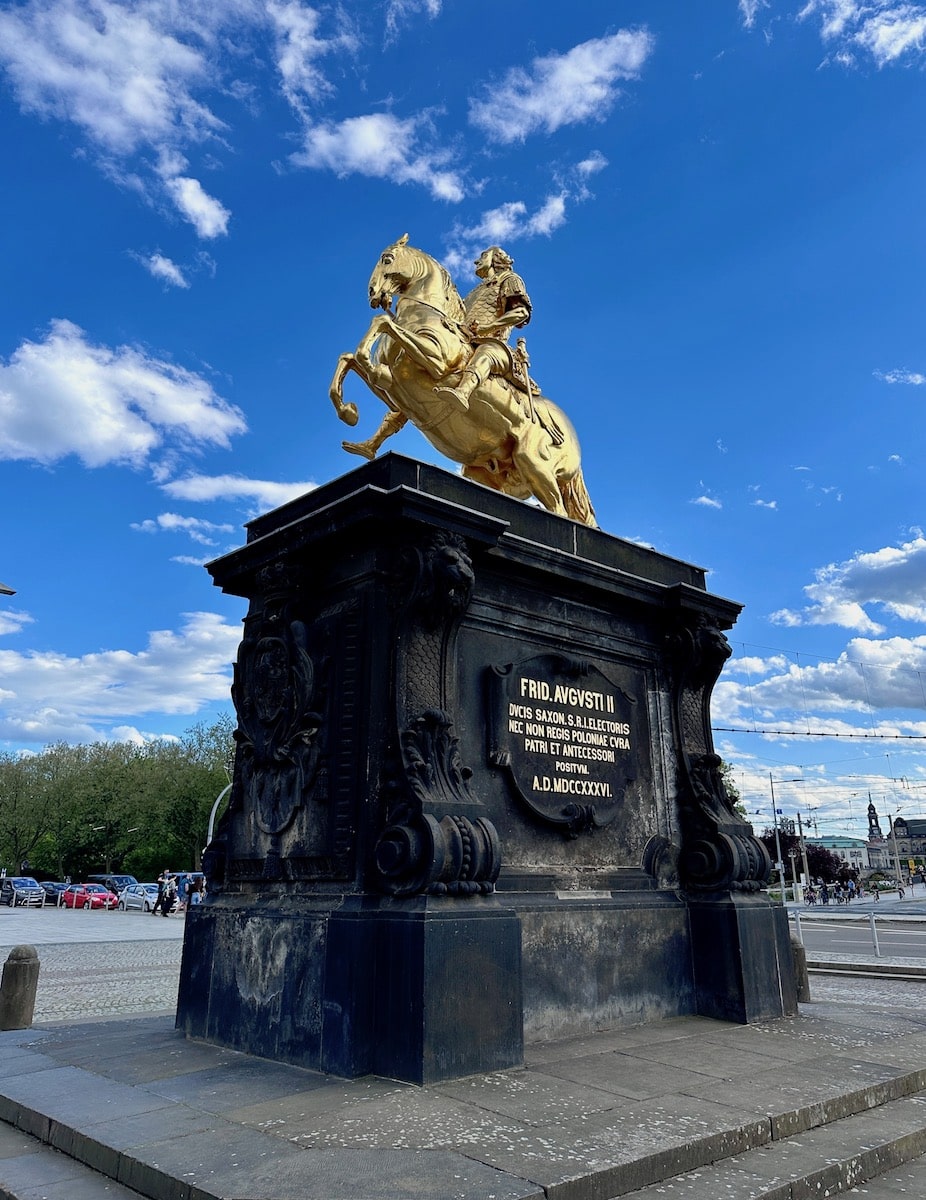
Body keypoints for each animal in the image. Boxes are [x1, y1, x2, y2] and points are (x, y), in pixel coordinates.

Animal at [328, 236, 597, 528]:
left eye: (387, 259)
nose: (373, 293)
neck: (426, 314)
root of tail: (573, 438)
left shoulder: (435, 360)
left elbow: (382, 322)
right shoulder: (393, 382)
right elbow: (349, 359)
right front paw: (348, 412)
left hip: (534, 464)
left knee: (560, 512)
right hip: (489, 473)